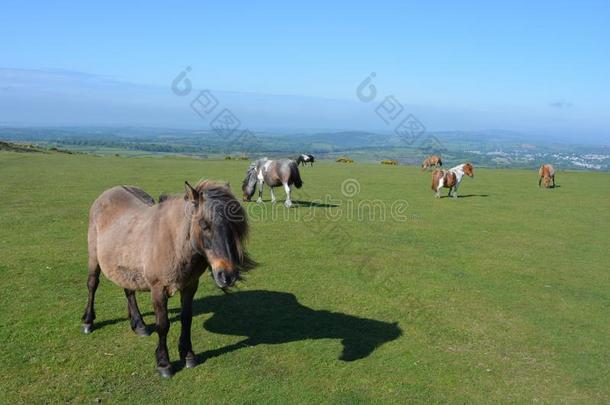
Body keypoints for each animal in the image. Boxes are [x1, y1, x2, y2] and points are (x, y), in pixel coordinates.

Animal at [82, 180, 253, 376]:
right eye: (204, 225)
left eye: (234, 226)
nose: (228, 275)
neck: (174, 242)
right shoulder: (158, 290)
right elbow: (162, 325)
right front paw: (164, 363)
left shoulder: (190, 287)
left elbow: (186, 319)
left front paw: (188, 354)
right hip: (94, 257)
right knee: (92, 284)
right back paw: (88, 321)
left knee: (128, 290)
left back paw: (139, 325)